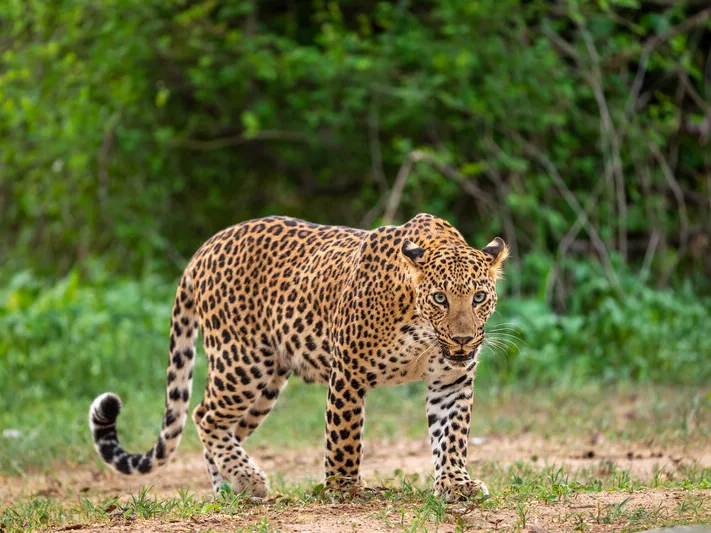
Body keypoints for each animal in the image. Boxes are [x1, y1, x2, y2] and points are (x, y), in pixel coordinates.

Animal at [89, 213, 508, 502]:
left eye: (479, 297)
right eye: (440, 298)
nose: (463, 339)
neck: (422, 332)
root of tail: (204, 249)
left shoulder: (452, 381)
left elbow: (452, 435)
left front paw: (456, 484)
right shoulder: (348, 373)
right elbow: (344, 438)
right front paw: (344, 489)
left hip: (267, 384)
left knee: (223, 427)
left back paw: (229, 488)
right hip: (241, 363)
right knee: (204, 415)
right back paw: (248, 480)